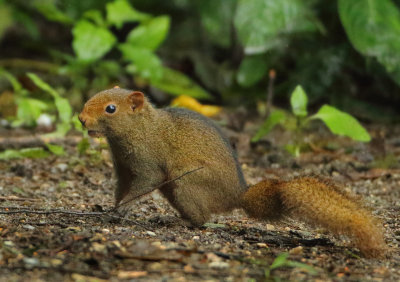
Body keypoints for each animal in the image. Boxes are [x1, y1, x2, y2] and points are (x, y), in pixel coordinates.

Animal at [79, 88, 388, 258]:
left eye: (110, 109)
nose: (81, 119)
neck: (139, 129)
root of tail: (237, 195)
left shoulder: (148, 165)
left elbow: (143, 185)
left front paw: (122, 209)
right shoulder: (123, 168)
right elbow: (121, 188)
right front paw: (113, 208)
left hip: (187, 182)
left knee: (202, 220)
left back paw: (176, 221)